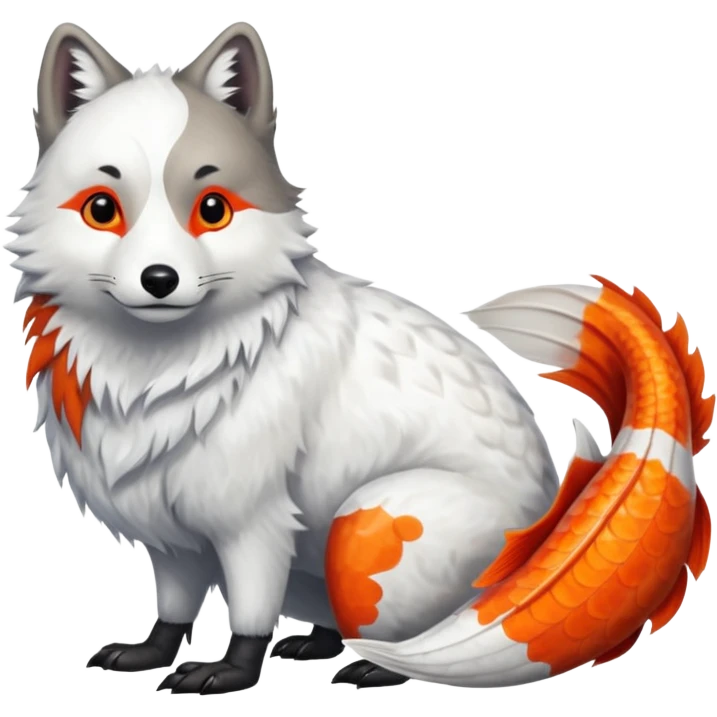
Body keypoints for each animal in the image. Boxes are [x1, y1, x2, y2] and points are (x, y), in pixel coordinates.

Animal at [7, 21, 712, 696]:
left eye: (212, 209)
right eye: (102, 208)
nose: (159, 279)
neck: (155, 372)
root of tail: (545, 525)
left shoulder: (253, 519)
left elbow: (249, 614)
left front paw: (231, 673)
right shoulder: (168, 527)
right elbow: (173, 609)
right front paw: (152, 653)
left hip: (365, 523)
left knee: (403, 636)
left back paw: (374, 667)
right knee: (333, 622)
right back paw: (316, 644)